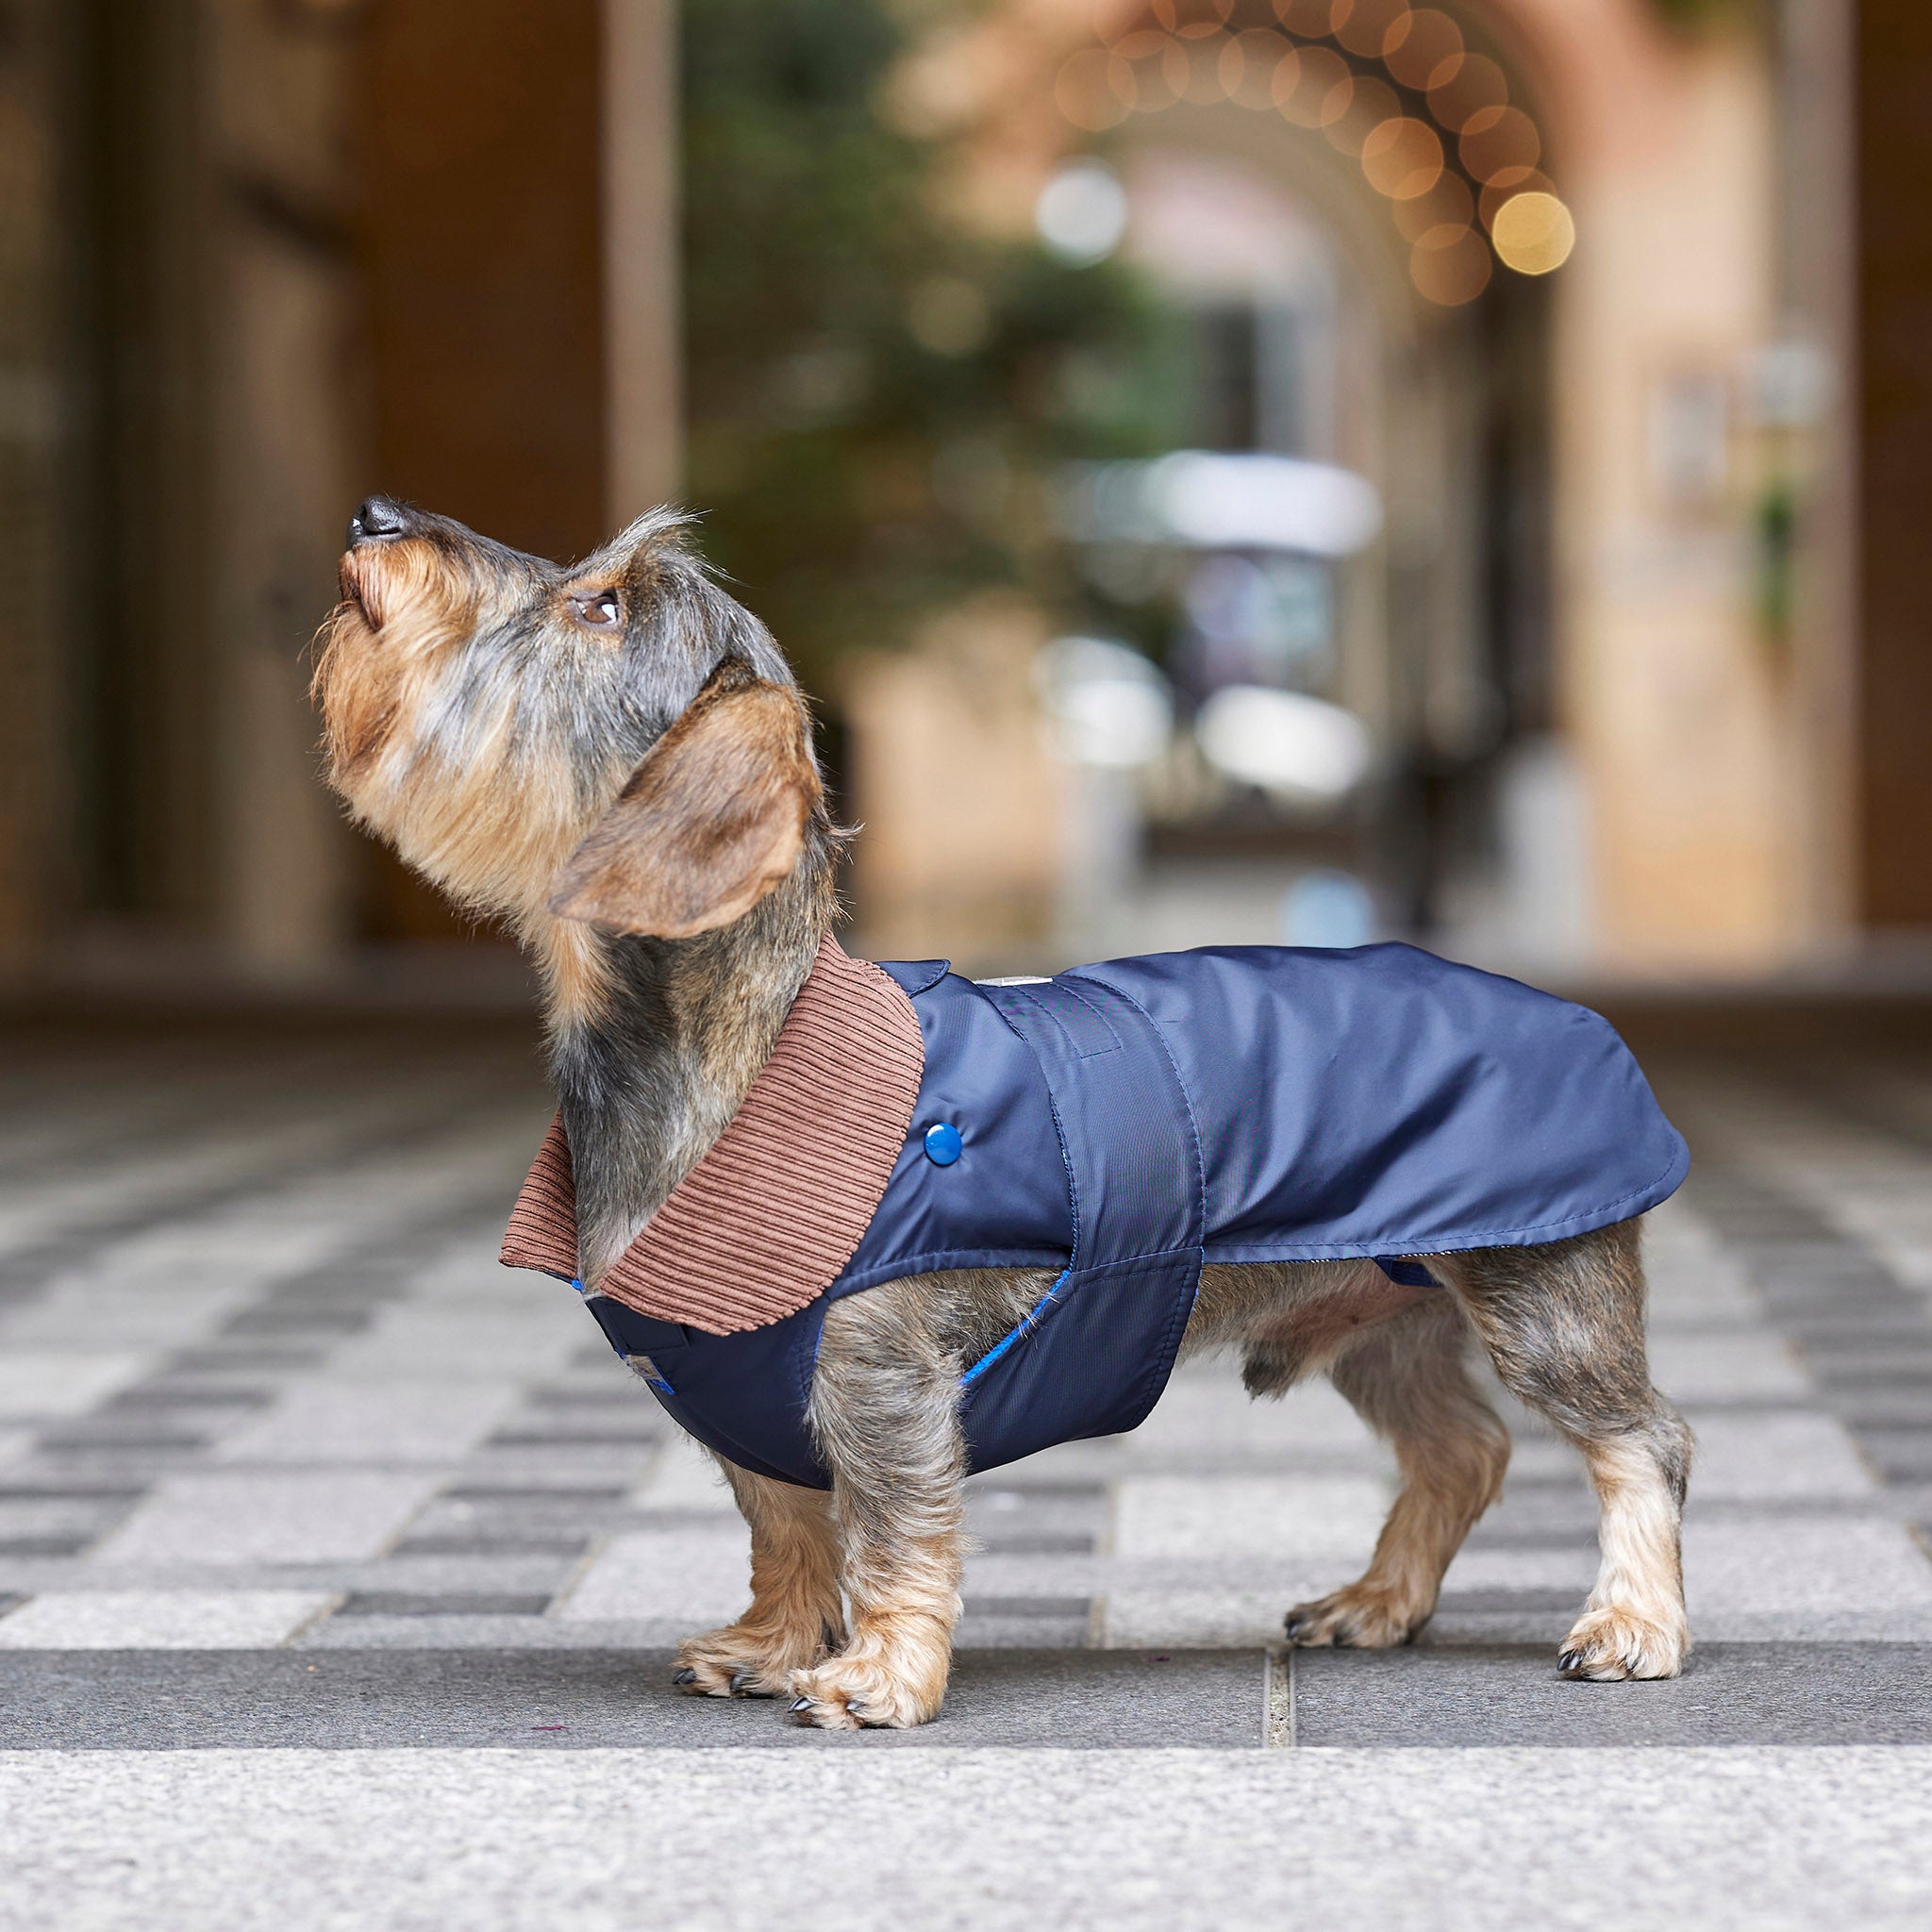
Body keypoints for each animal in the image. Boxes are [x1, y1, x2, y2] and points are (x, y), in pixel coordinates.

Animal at [316, 498, 1692, 1739]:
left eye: (599, 607)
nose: (374, 514)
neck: (729, 1056)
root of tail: (1579, 1023)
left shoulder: (880, 1374)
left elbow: (893, 1530)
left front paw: (878, 1674)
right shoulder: (727, 1387)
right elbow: (782, 1523)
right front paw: (773, 1640)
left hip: (1540, 1294)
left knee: (1643, 1442)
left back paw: (1633, 1620)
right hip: (1381, 1323)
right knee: (1462, 1452)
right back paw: (1379, 1601)